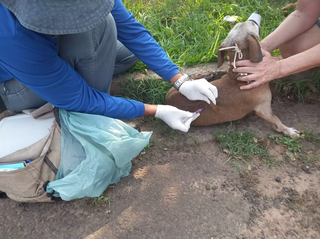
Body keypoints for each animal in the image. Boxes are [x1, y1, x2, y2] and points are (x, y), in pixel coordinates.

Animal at [165, 20, 300, 138]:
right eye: (252, 24)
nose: (254, 16)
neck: (240, 76)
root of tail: (168, 100)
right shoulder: (264, 109)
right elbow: (276, 119)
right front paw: (288, 130)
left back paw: (207, 77)